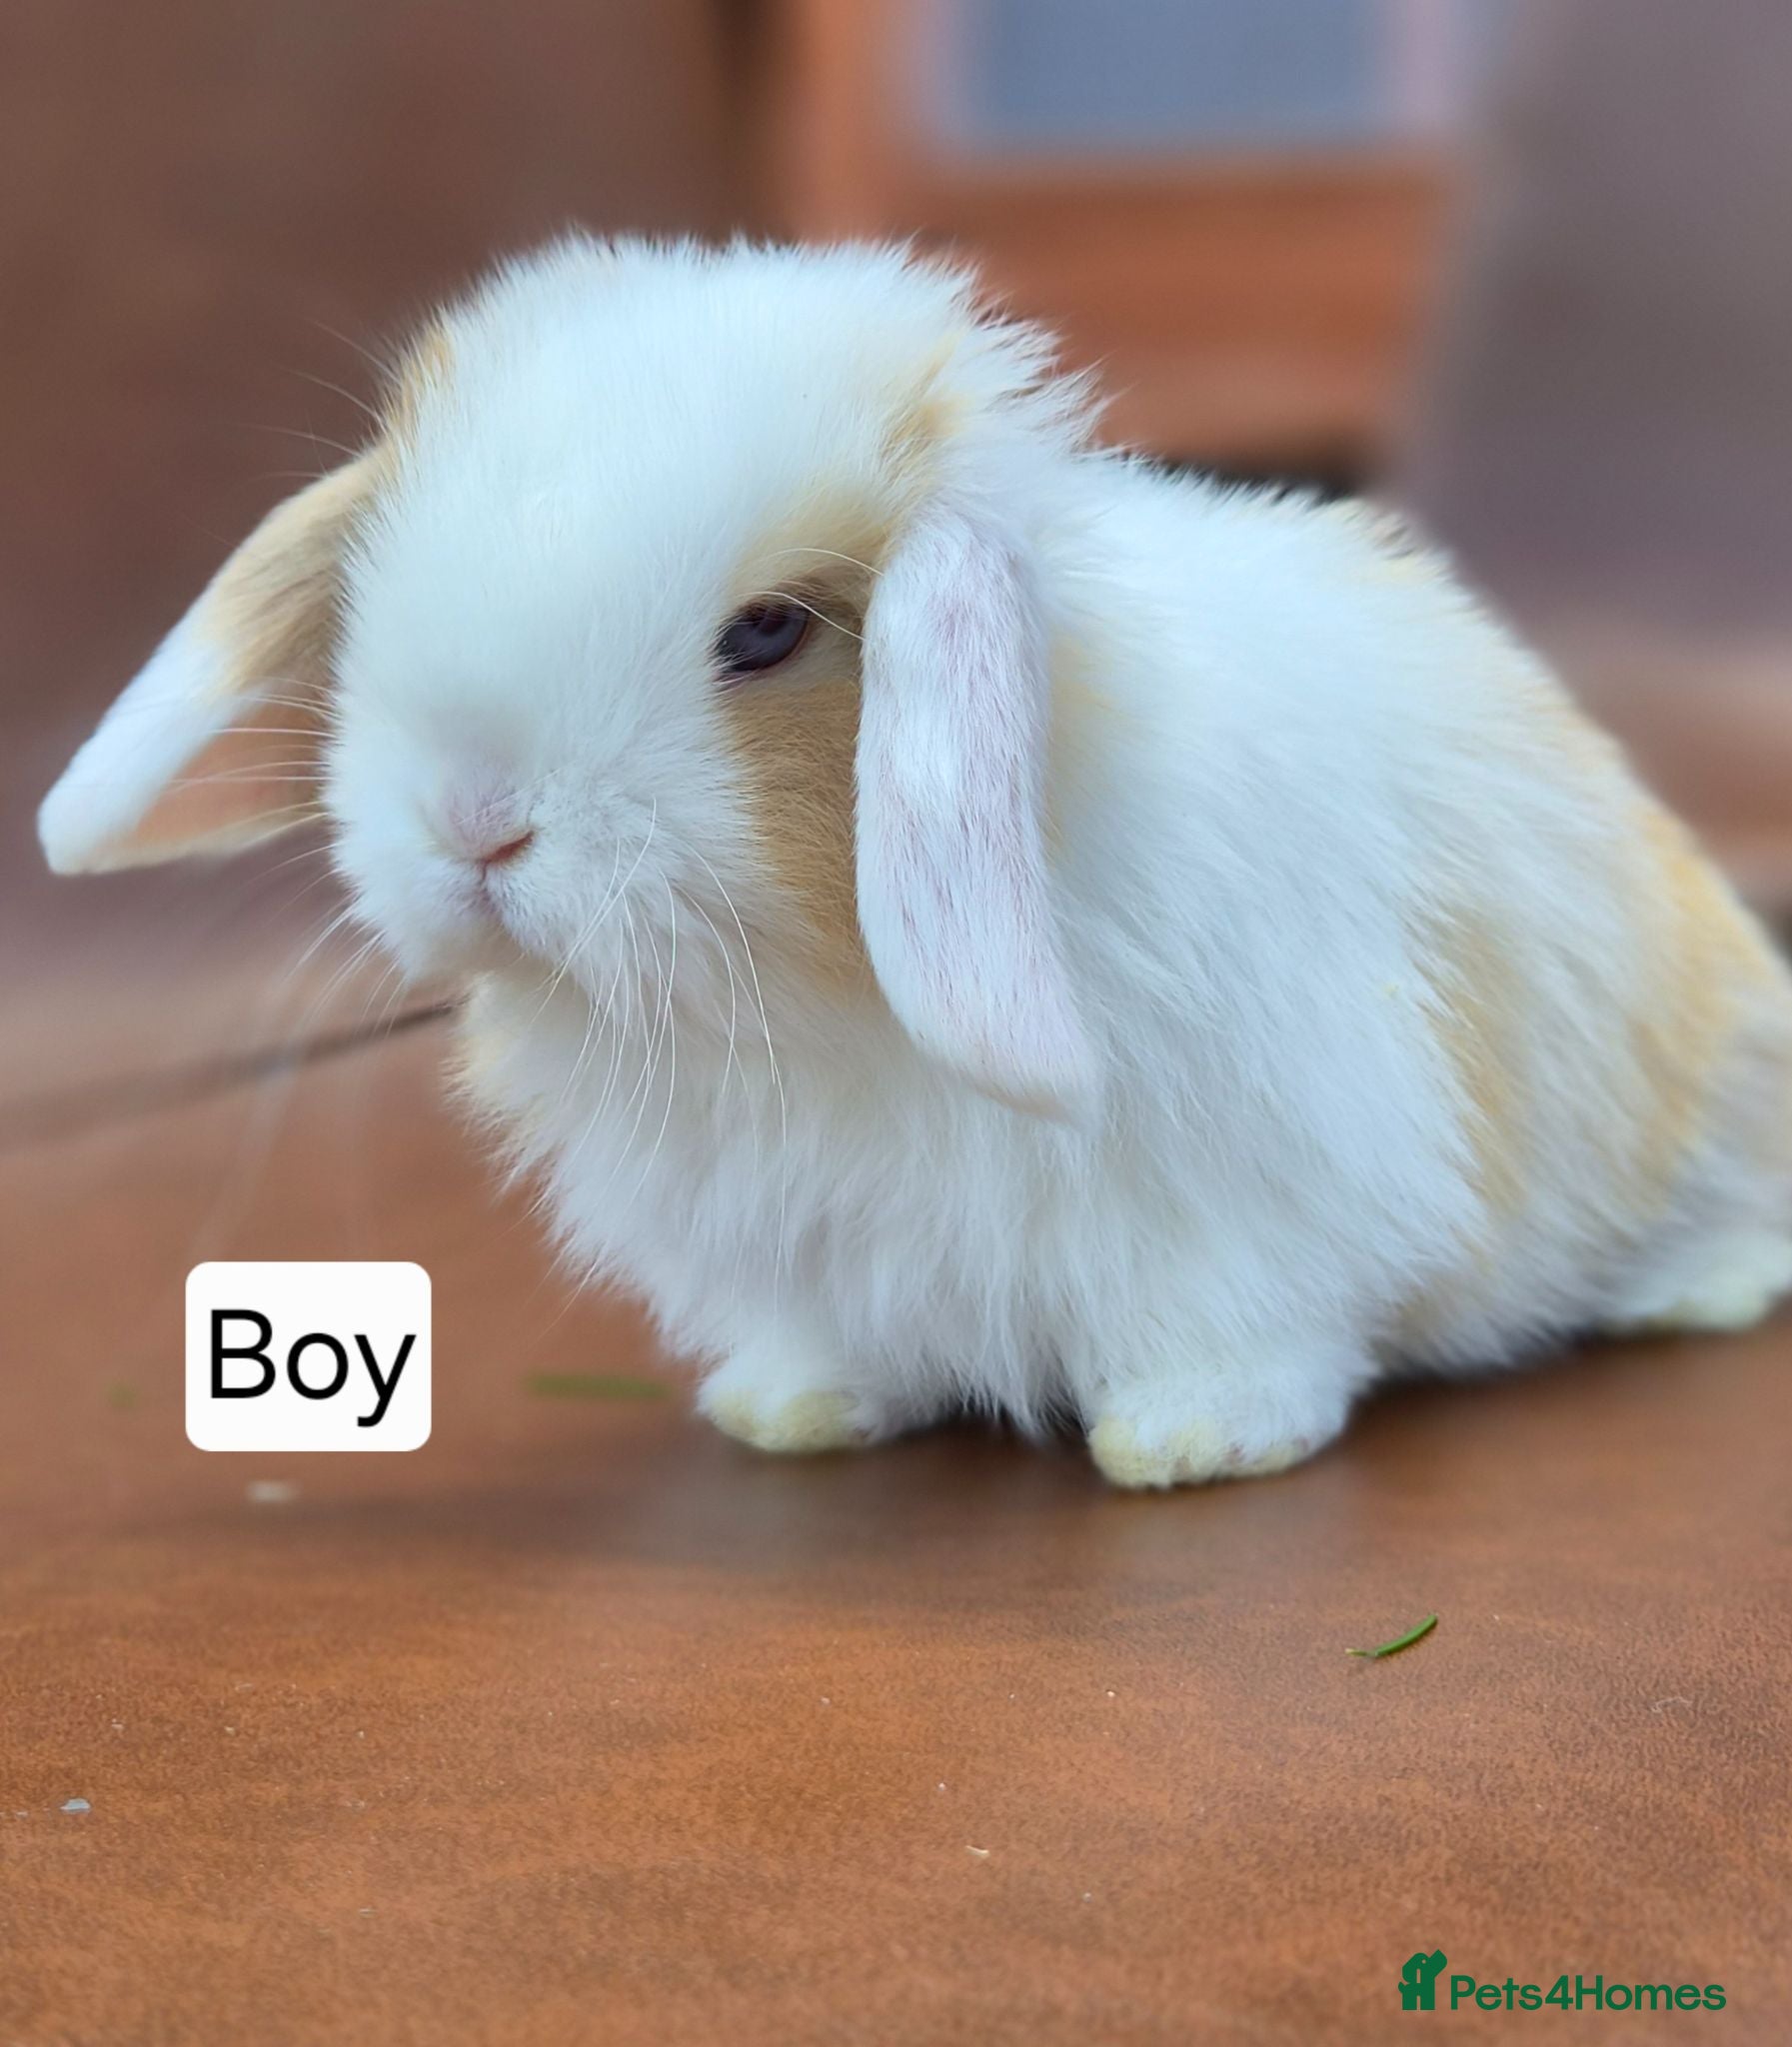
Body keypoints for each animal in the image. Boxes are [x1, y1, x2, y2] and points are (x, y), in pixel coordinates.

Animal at [39, 234, 1792, 1487]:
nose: (473, 821)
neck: (812, 1004)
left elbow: (1244, 1324)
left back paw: (1685, 1294)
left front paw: (1188, 1443)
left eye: (765, 632)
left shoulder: (1271, 1182)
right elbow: (827, 1345)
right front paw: (785, 1412)